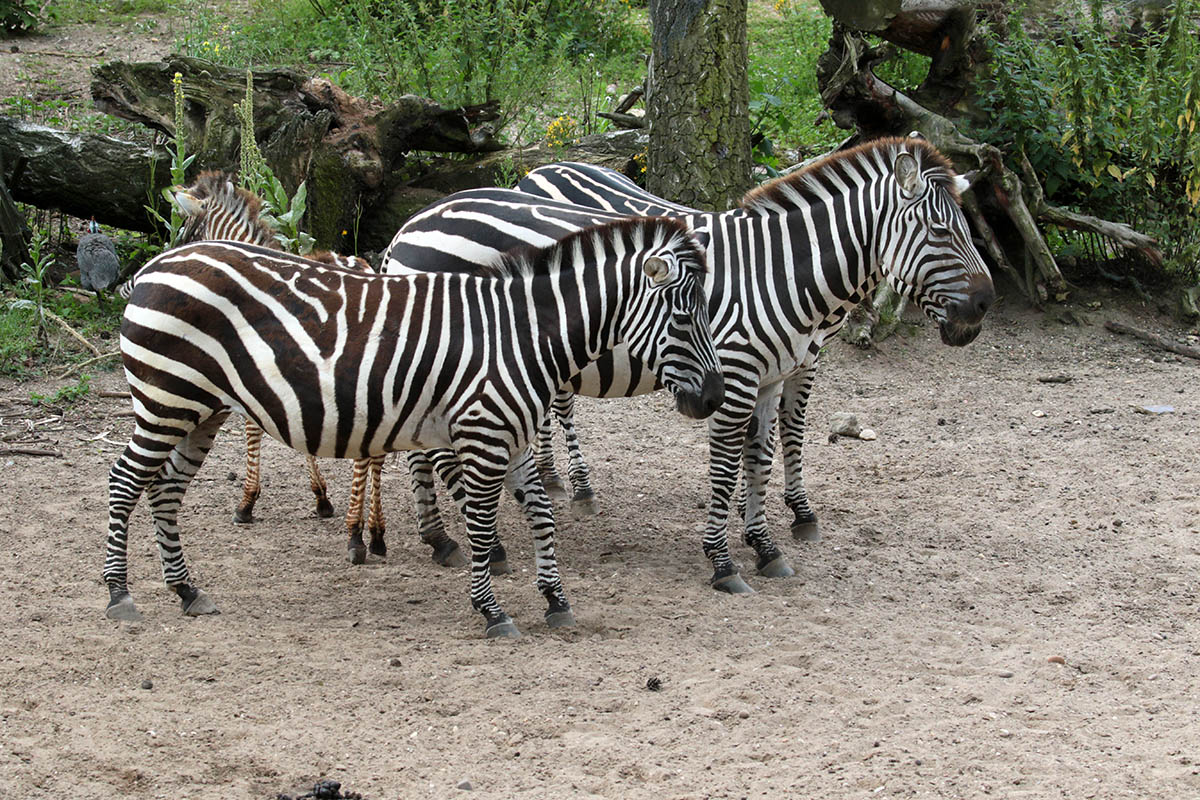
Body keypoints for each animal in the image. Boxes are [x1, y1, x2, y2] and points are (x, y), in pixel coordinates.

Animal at [103, 217, 720, 638]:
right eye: (683, 317)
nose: (714, 398)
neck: (522, 335)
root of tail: (157, 264)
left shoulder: (514, 434)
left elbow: (543, 516)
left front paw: (556, 600)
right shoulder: (483, 434)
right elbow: (480, 526)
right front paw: (491, 610)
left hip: (200, 410)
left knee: (165, 491)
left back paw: (186, 589)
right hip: (164, 399)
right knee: (124, 482)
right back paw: (118, 594)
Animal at [168, 171, 384, 561]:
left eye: (187, 236)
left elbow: (254, 431)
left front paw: (247, 503)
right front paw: (321, 498)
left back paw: (356, 535)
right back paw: (375, 532)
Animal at [384, 134, 993, 594]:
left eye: (967, 227)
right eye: (941, 231)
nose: (984, 305)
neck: (780, 272)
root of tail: (412, 223)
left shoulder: (777, 375)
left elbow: (763, 456)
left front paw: (765, 543)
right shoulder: (738, 376)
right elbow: (728, 467)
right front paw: (724, 560)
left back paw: (448, 535)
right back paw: (464, 538)